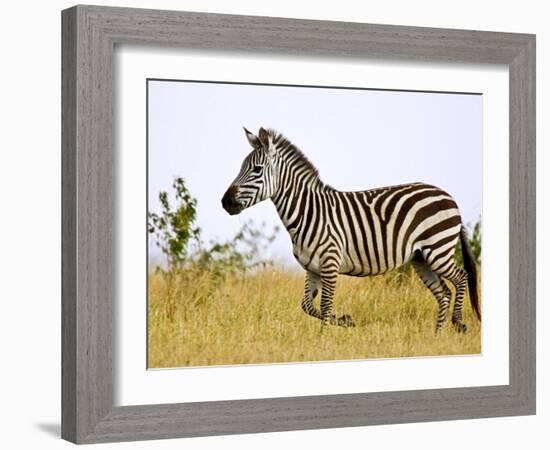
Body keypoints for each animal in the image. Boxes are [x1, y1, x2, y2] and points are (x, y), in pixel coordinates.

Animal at [222, 128, 480, 332]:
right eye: (241, 167)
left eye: (256, 169)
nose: (225, 202)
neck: (308, 211)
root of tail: (447, 195)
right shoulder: (312, 268)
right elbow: (307, 306)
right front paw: (346, 321)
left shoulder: (330, 263)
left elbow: (325, 306)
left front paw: (323, 340)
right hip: (421, 258)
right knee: (443, 293)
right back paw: (437, 335)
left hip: (438, 248)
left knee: (461, 277)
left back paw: (458, 323)